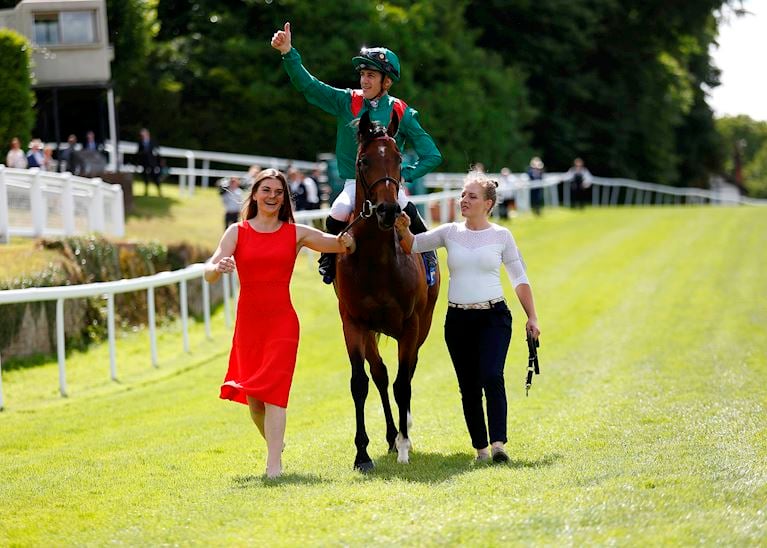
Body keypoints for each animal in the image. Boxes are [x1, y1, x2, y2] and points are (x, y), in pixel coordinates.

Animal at [334, 110, 440, 470]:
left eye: (398, 159)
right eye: (364, 161)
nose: (388, 210)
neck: (378, 262)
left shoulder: (410, 324)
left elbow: (403, 383)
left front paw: (405, 441)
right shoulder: (353, 323)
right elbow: (360, 383)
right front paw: (362, 454)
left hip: (423, 325)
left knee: (406, 373)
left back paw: (403, 431)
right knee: (379, 374)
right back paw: (392, 436)